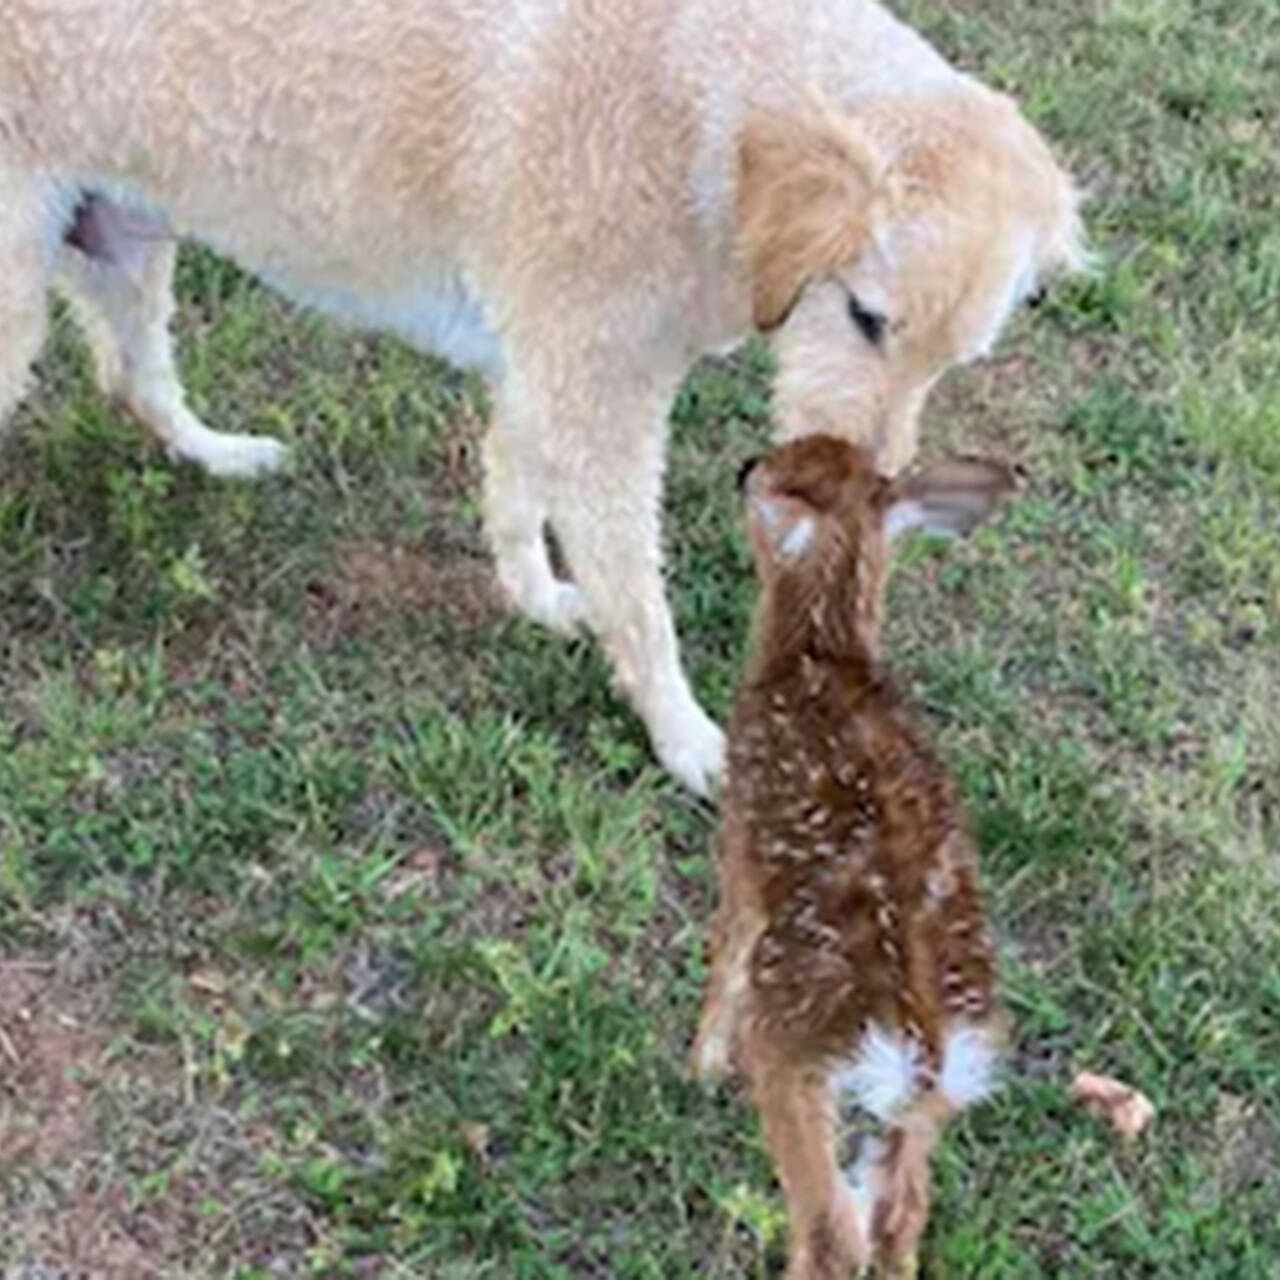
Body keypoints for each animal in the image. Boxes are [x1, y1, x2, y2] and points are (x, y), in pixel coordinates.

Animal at [0, 0, 1085, 793]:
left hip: (122, 237)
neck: (719, 105)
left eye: (954, 360)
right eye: (864, 318)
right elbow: (639, 597)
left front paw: (535, 598)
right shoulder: (597, 401)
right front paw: (685, 736)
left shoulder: (549, 375)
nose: (872, 494)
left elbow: (517, 496)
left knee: (132, 378)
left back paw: (221, 453)